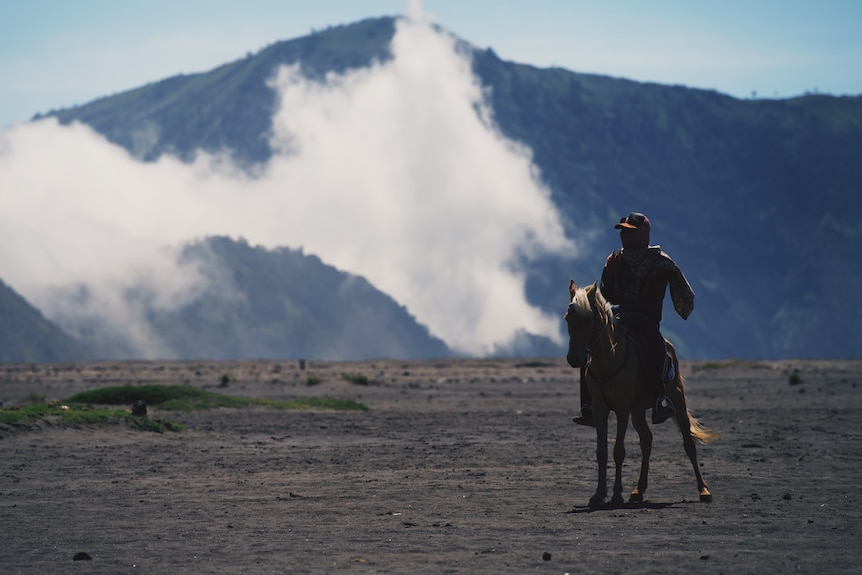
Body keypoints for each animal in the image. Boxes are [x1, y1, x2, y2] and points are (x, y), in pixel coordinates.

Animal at [564, 280, 720, 508]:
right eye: (567, 318)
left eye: (587, 319)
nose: (574, 359)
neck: (609, 359)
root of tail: (669, 345)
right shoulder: (601, 410)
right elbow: (602, 452)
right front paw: (598, 495)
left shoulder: (621, 409)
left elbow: (618, 451)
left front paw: (616, 495)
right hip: (637, 411)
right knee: (647, 441)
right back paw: (638, 491)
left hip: (677, 399)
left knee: (688, 443)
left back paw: (704, 490)